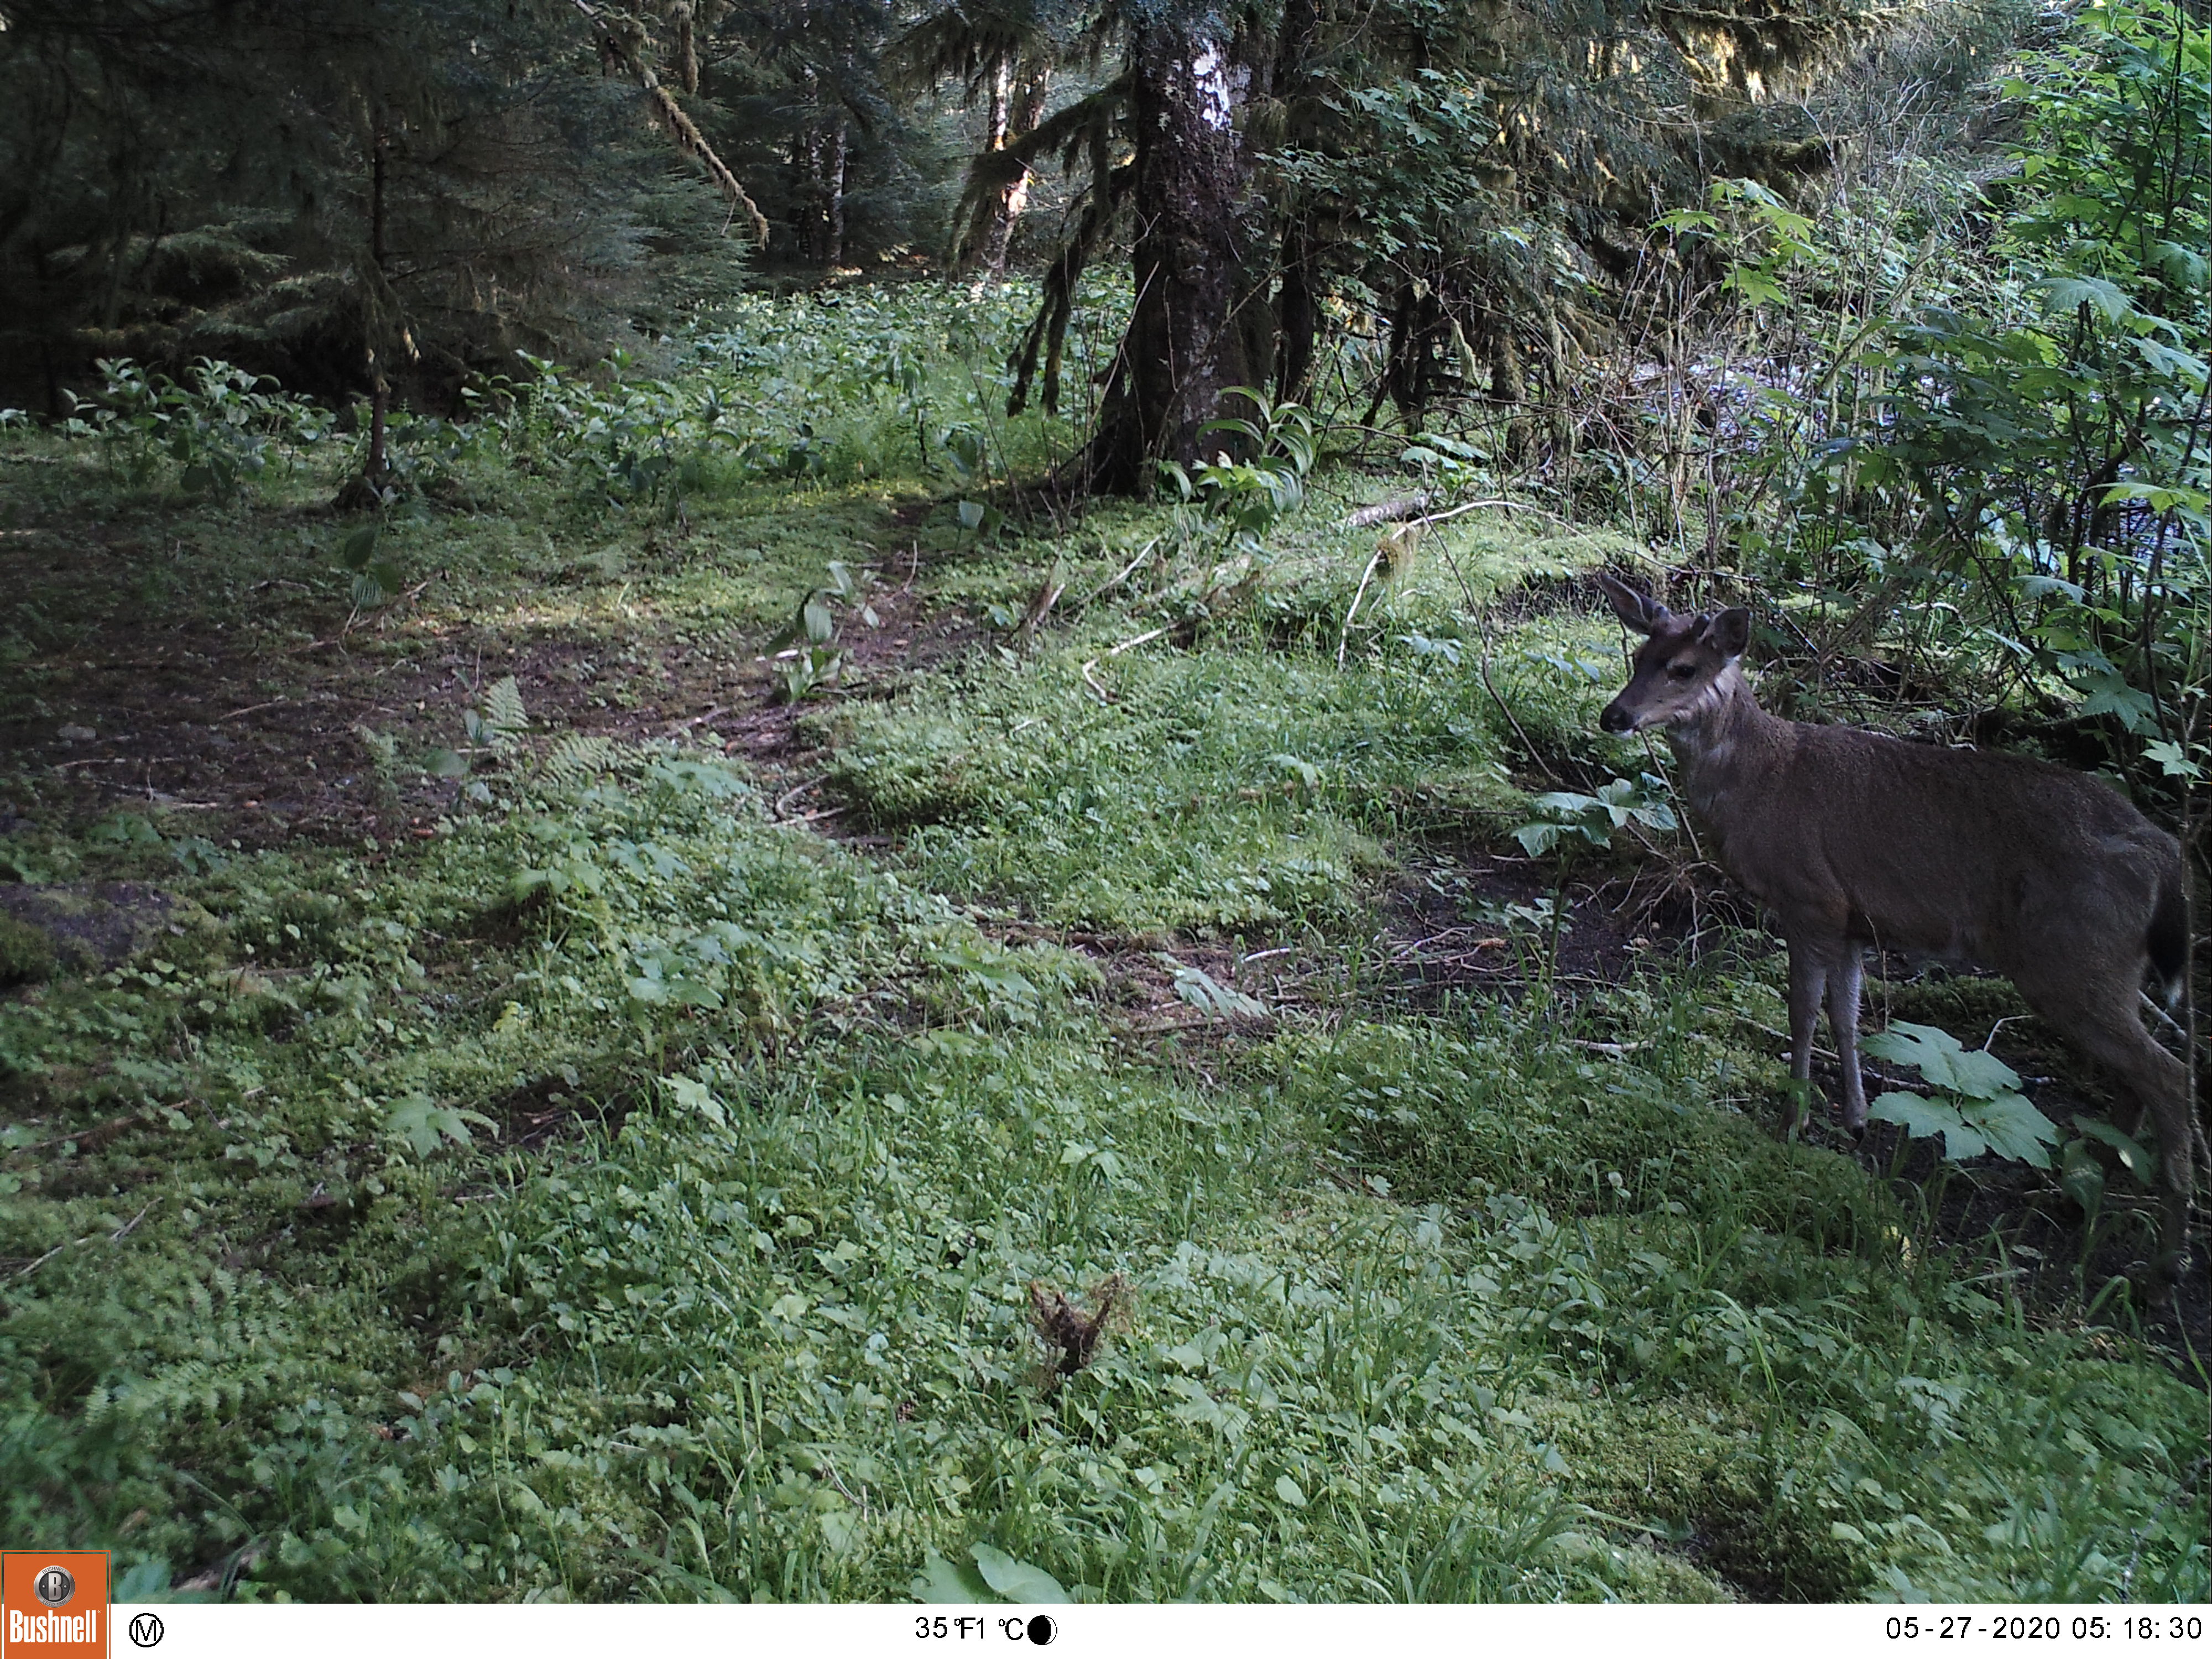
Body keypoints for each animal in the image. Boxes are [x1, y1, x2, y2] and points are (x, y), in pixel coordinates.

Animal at [1593, 572, 2196, 1279]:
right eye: (1638, 657)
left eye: (1684, 669)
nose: (1615, 716)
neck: (1758, 782)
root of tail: (2164, 852)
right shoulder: (1854, 920)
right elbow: (1847, 1016)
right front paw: (1855, 1119)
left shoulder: (1810, 899)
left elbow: (1802, 1013)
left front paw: (1792, 1123)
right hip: (2105, 964)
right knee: (2136, 1079)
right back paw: (2083, 1195)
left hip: (2073, 955)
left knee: (2168, 1075)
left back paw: (2166, 1262)